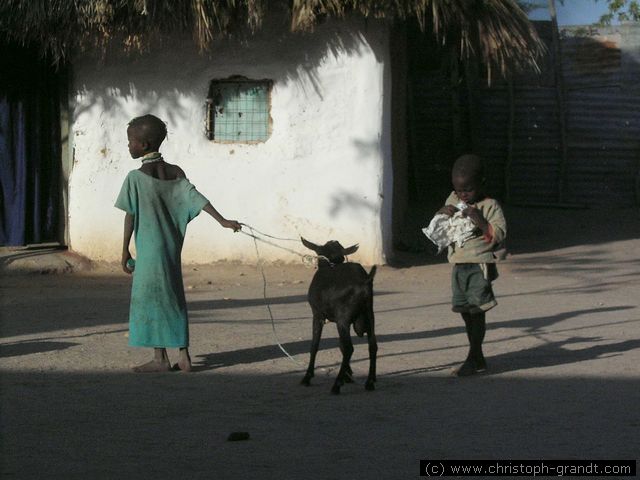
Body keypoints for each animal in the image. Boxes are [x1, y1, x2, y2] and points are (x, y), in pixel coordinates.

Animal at [302, 237, 378, 394]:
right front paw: (347, 375)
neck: (331, 264)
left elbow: (314, 345)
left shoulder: (317, 315)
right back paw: (370, 381)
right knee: (372, 345)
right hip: (369, 314)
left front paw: (307, 377)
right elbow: (340, 345)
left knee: (349, 348)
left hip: (343, 319)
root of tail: (363, 282)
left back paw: (336, 385)